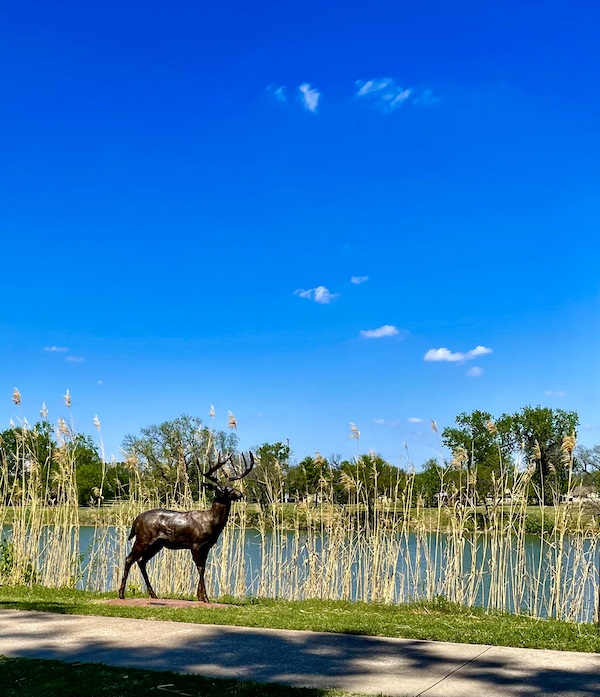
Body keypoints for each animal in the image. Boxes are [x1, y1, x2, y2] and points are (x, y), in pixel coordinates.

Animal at [118, 450, 255, 603]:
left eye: (231, 487)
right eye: (222, 490)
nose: (240, 494)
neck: (211, 522)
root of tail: (136, 520)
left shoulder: (207, 546)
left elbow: (203, 567)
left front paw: (200, 596)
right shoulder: (195, 543)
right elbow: (200, 568)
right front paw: (205, 598)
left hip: (156, 544)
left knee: (141, 561)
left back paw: (153, 594)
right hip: (144, 538)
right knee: (129, 559)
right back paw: (121, 594)